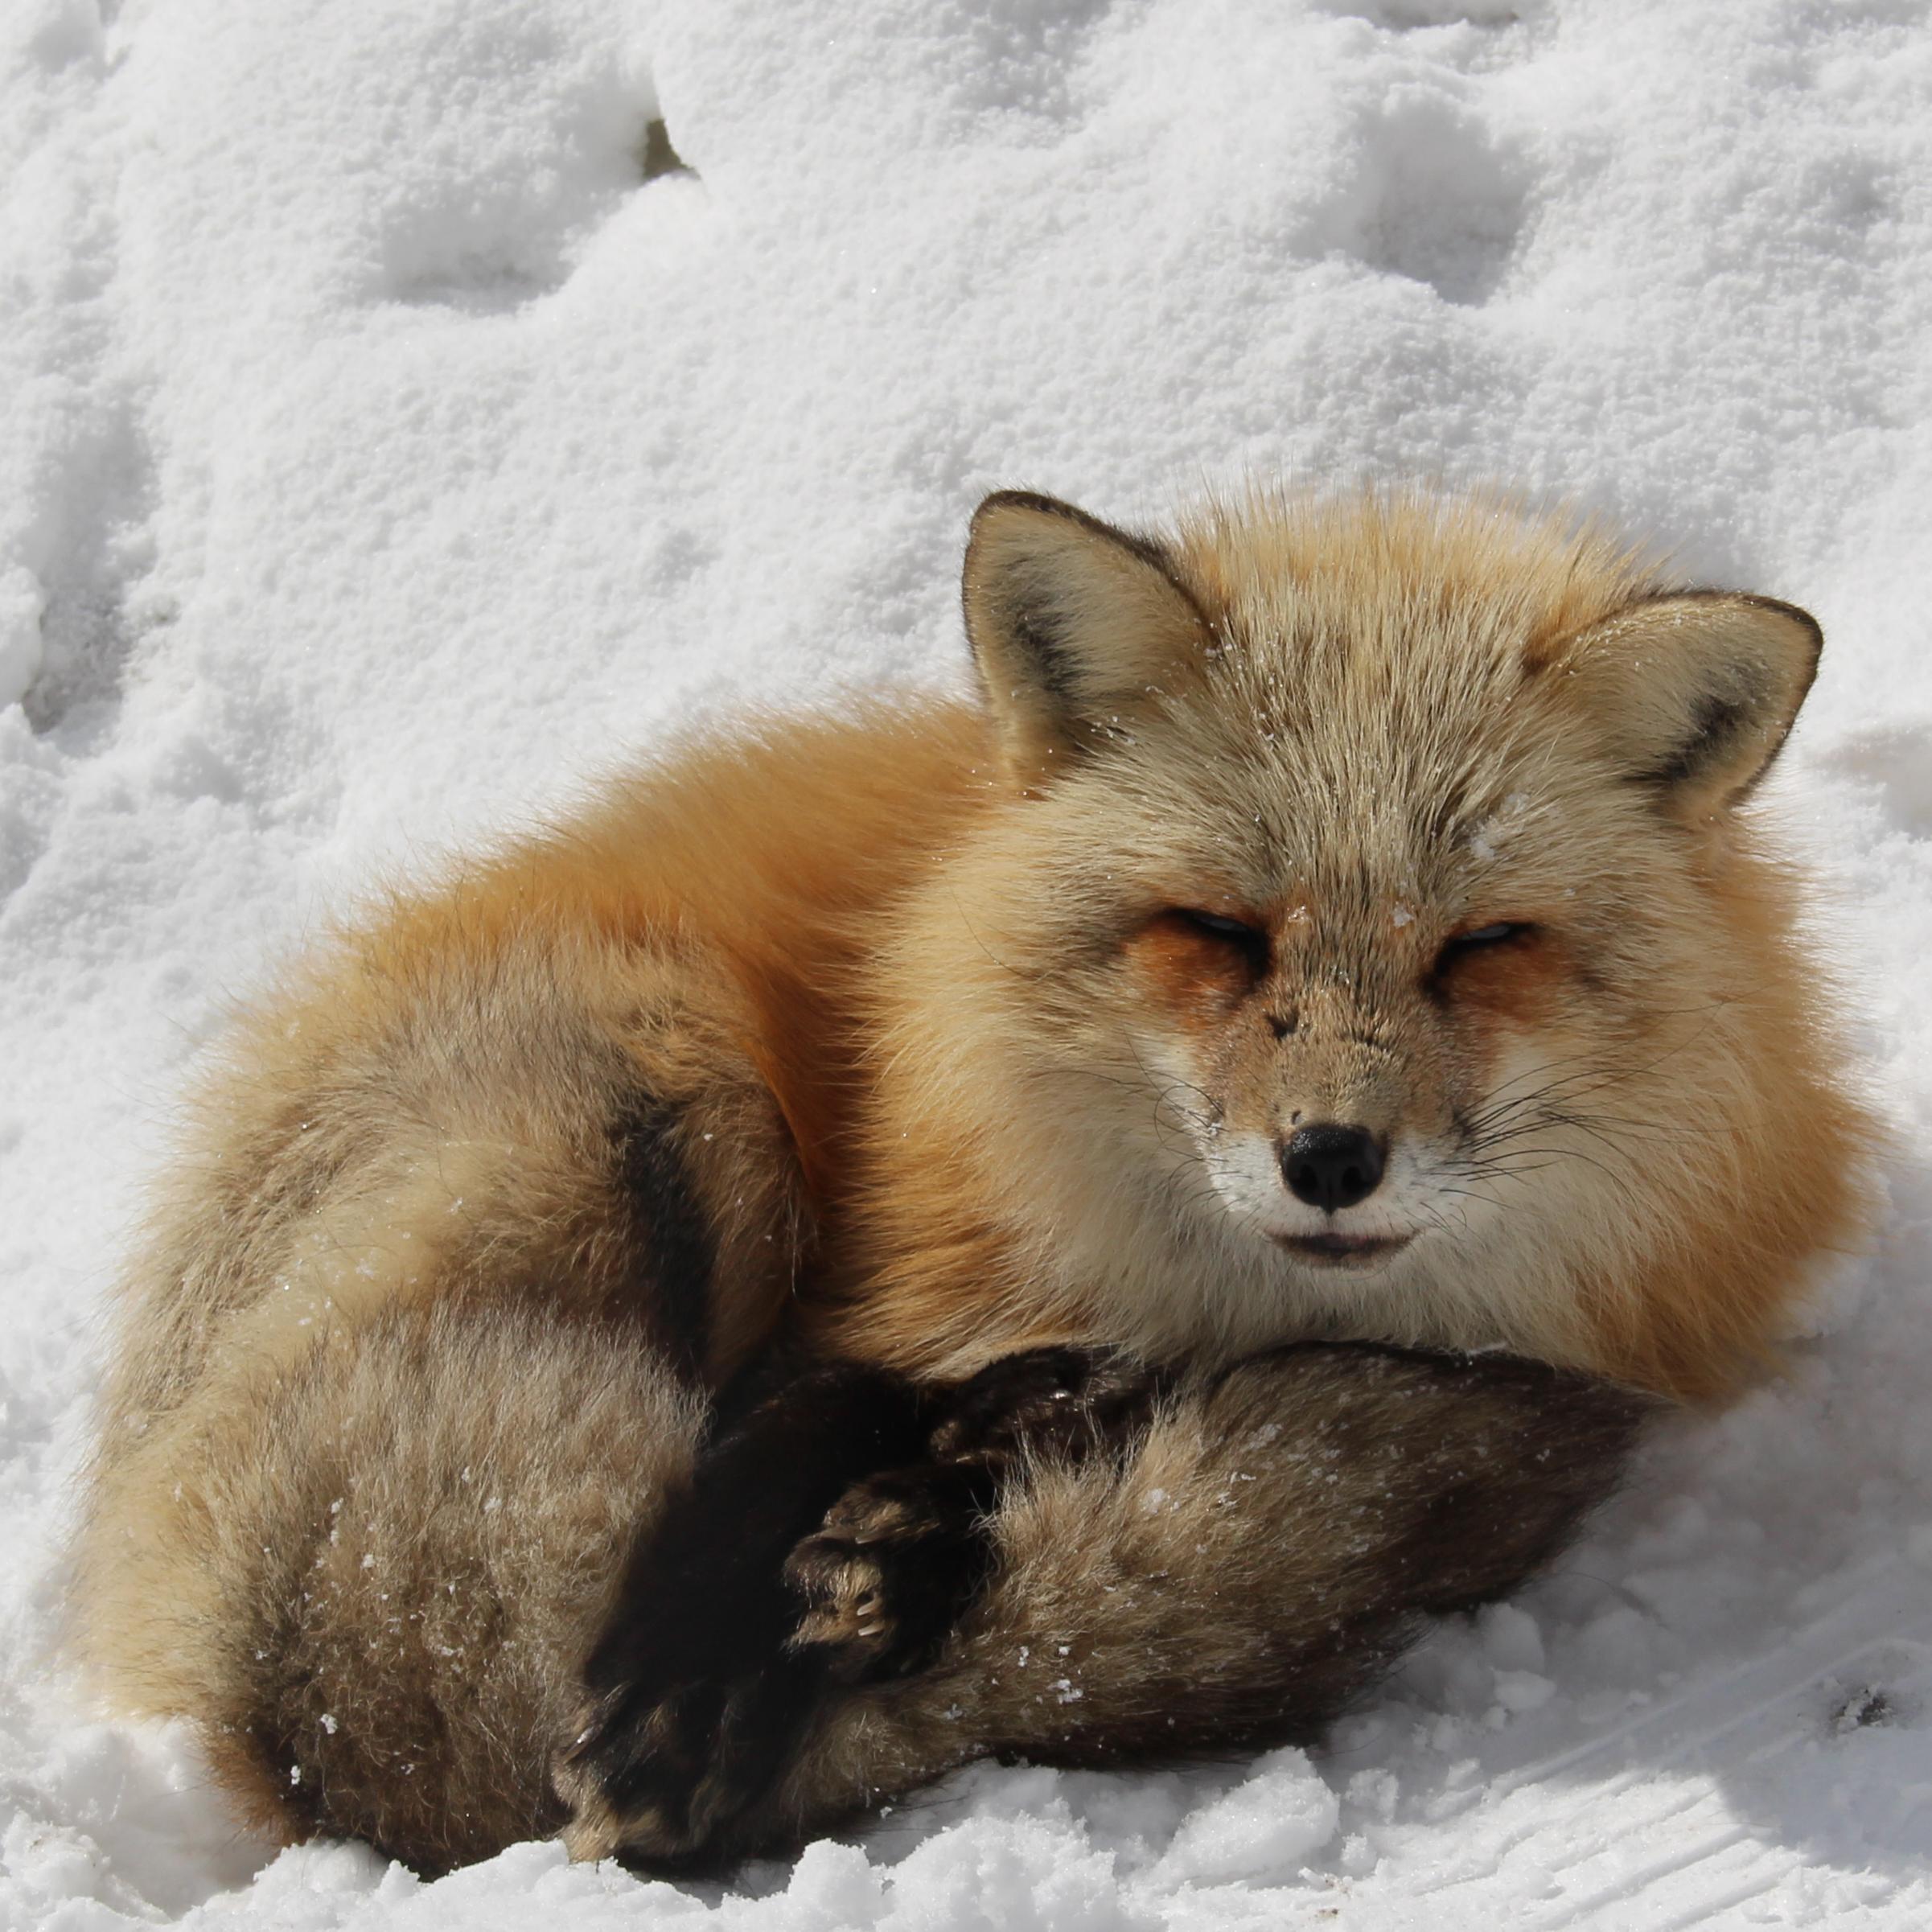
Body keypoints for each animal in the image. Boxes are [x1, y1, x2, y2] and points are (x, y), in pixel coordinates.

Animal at [75, 483, 1870, 1870]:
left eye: (1483, 946)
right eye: (1219, 932)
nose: (1330, 1159)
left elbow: (1006, 1412)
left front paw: (889, 1549)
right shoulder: (875, 1283)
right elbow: (795, 1417)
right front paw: (687, 1670)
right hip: (683, 1099)